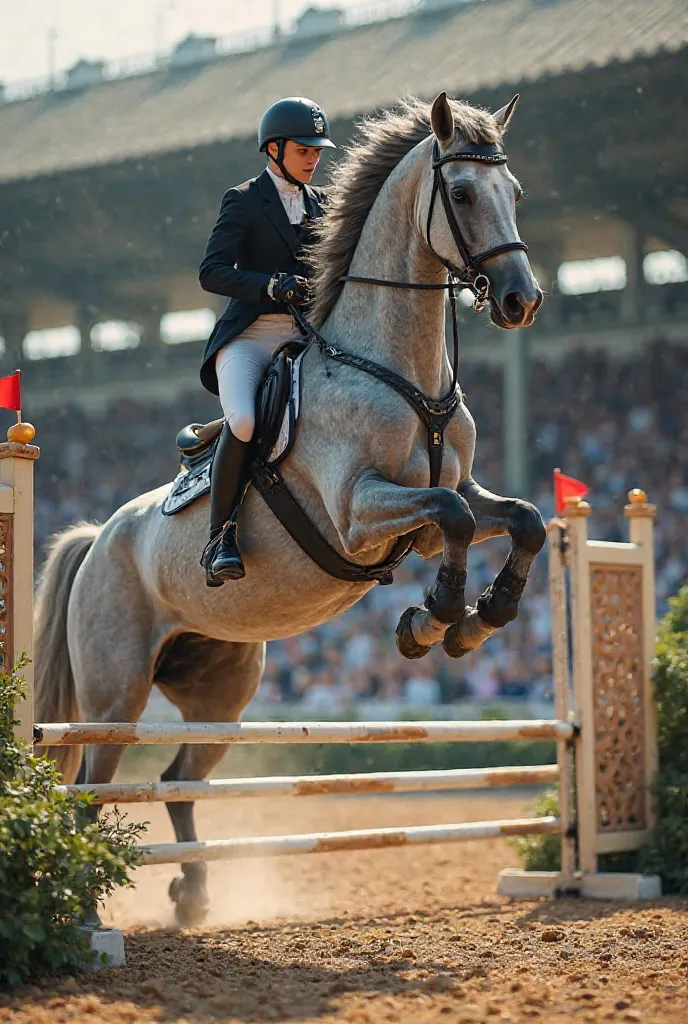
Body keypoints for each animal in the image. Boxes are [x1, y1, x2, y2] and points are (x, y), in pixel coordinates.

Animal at [34, 94, 544, 929]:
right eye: (464, 195)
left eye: (517, 193)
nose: (520, 301)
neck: (396, 368)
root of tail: (99, 535)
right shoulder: (359, 513)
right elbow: (455, 521)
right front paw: (432, 618)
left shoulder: (454, 496)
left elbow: (519, 519)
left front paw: (475, 618)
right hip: (115, 692)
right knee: (89, 789)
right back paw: (82, 912)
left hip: (222, 690)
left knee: (178, 780)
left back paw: (191, 895)